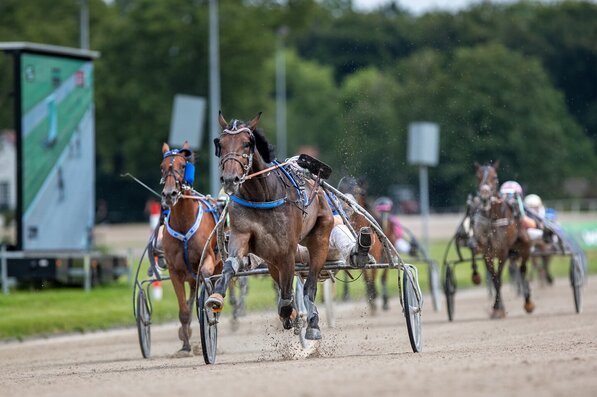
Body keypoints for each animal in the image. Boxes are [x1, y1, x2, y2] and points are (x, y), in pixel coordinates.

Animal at [158, 142, 221, 352]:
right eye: (162, 166)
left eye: (183, 165)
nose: (169, 194)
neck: (184, 225)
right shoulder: (174, 271)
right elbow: (184, 311)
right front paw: (185, 345)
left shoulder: (208, 259)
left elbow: (205, 275)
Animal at [205, 112, 336, 340]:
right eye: (220, 143)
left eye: (247, 143)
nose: (230, 179)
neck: (261, 196)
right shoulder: (241, 234)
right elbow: (230, 265)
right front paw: (216, 296)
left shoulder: (287, 251)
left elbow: (287, 293)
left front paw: (291, 313)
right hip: (271, 258)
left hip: (321, 236)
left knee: (309, 284)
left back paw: (312, 323)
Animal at [468, 159, 532, 318]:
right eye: (478, 177)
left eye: (495, 177)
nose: (485, 196)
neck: (492, 219)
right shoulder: (487, 253)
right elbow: (494, 278)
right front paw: (497, 308)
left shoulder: (503, 251)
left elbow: (500, 278)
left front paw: (498, 308)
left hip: (525, 247)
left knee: (523, 270)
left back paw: (528, 302)